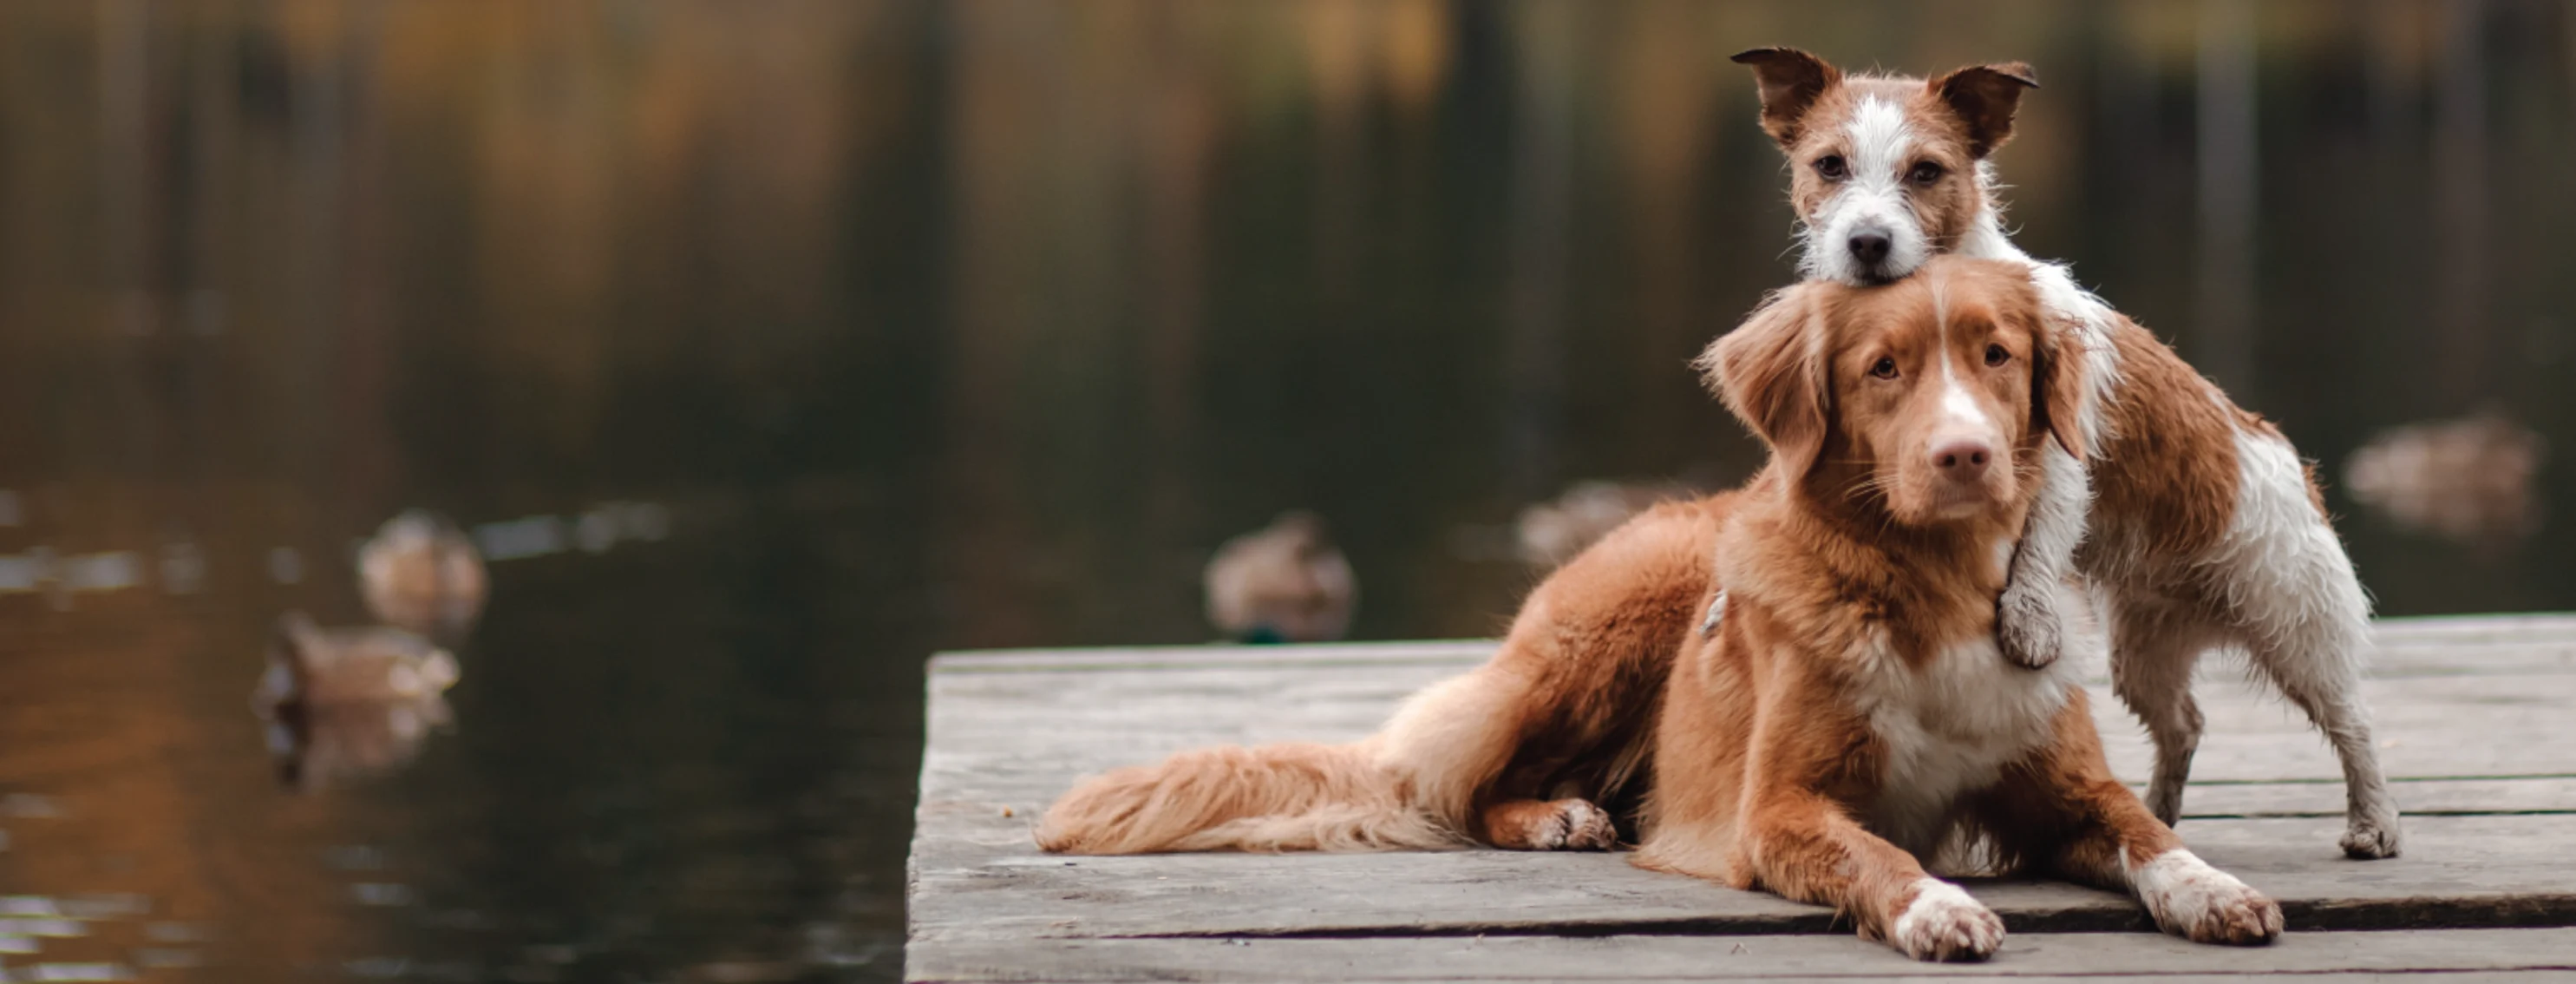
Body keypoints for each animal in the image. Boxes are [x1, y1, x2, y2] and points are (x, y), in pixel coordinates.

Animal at [1035, 257, 2287, 963]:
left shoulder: (2059, 788)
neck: (1929, 583)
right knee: (1455, 788)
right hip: (1594, 644)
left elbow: (2147, 833)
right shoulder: (1778, 809)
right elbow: (1879, 854)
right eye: (1883, 368)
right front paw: (1935, 907)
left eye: (1997, 355)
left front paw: (2215, 888)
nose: (1964, 456)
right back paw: (1553, 816)